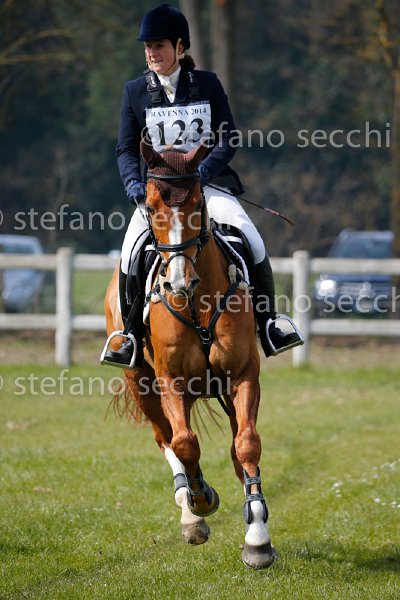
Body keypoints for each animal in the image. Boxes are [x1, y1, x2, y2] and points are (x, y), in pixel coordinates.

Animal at [104, 140, 277, 569]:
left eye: (199, 202)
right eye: (150, 207)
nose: (179, 282)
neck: (197, 303)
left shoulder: (243, 375)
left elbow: (247, 444)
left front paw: (258, 538)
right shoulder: (171, 382)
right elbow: (185, 443)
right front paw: (201, 500)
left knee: (235, 445)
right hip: (141, 383)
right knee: (165, 438)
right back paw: (190, 514)